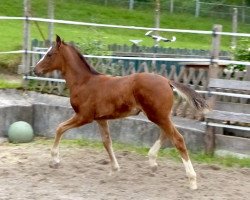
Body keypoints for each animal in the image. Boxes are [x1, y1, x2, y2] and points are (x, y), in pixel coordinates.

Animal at [34, 35, 208, 190]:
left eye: (49, 54)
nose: (35, 69)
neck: (84, 82)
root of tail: (167, 81)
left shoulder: (84, 117)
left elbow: (59, 128)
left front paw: (54, 161)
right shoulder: (101, 119)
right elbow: (106, 142)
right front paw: (114, 170)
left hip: (157, 115)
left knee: (177, 139)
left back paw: (192, 180)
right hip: (160, 115)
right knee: (167, 134)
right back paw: (152, 162)